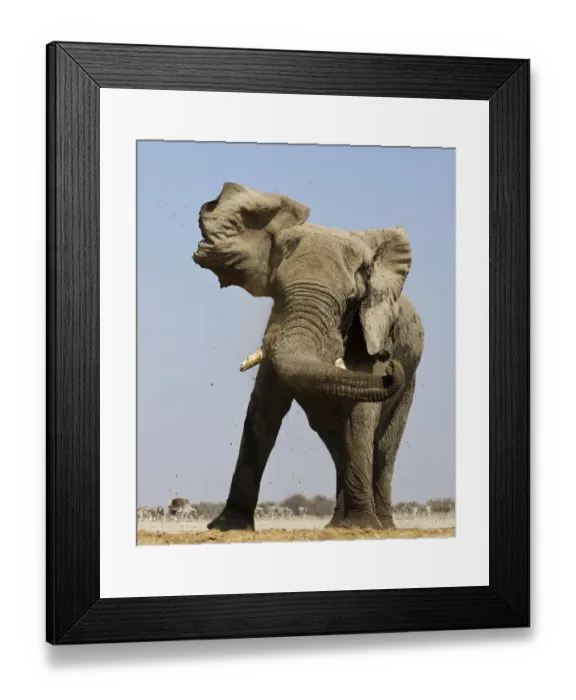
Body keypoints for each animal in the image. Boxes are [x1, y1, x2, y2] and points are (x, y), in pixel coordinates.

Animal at [192, 182, 424, 531]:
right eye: (276, 291)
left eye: (351, 302)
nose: (391, 363)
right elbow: (262, 411)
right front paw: (227, 527)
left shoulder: (372, 332)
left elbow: (360, 416)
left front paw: (362, 527)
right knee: (336, 441)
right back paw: (337, 525)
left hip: (409, 382)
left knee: (384, 446)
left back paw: (380, 526)